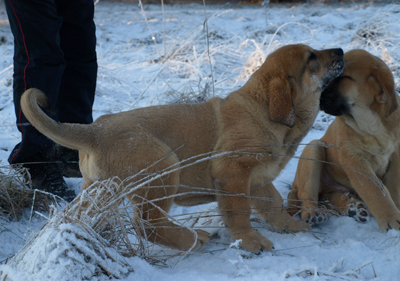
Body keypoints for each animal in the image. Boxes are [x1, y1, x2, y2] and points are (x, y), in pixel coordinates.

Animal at [20, 43, 344, 252]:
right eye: (311, 57)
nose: (341, 51)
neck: (262, 110)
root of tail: (95, 131)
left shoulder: (258, 179)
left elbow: (273, 205)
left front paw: (291, 226)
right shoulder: (233, 172)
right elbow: (239, 212)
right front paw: (252, 242)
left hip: (99, 189)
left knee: (80, 215)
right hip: (163, 169)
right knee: (147, 225)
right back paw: (193, 239)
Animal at [288, 49, 400, 231]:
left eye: (343, 78)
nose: (316, 98)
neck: (371, 124)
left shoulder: (396, 155)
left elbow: (392, 185)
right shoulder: (354, 159)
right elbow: (376, 190)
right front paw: (391, 219)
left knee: (327, 197)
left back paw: (353, 207)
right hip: (314, 148)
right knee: (307, 197)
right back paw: (315, 214)